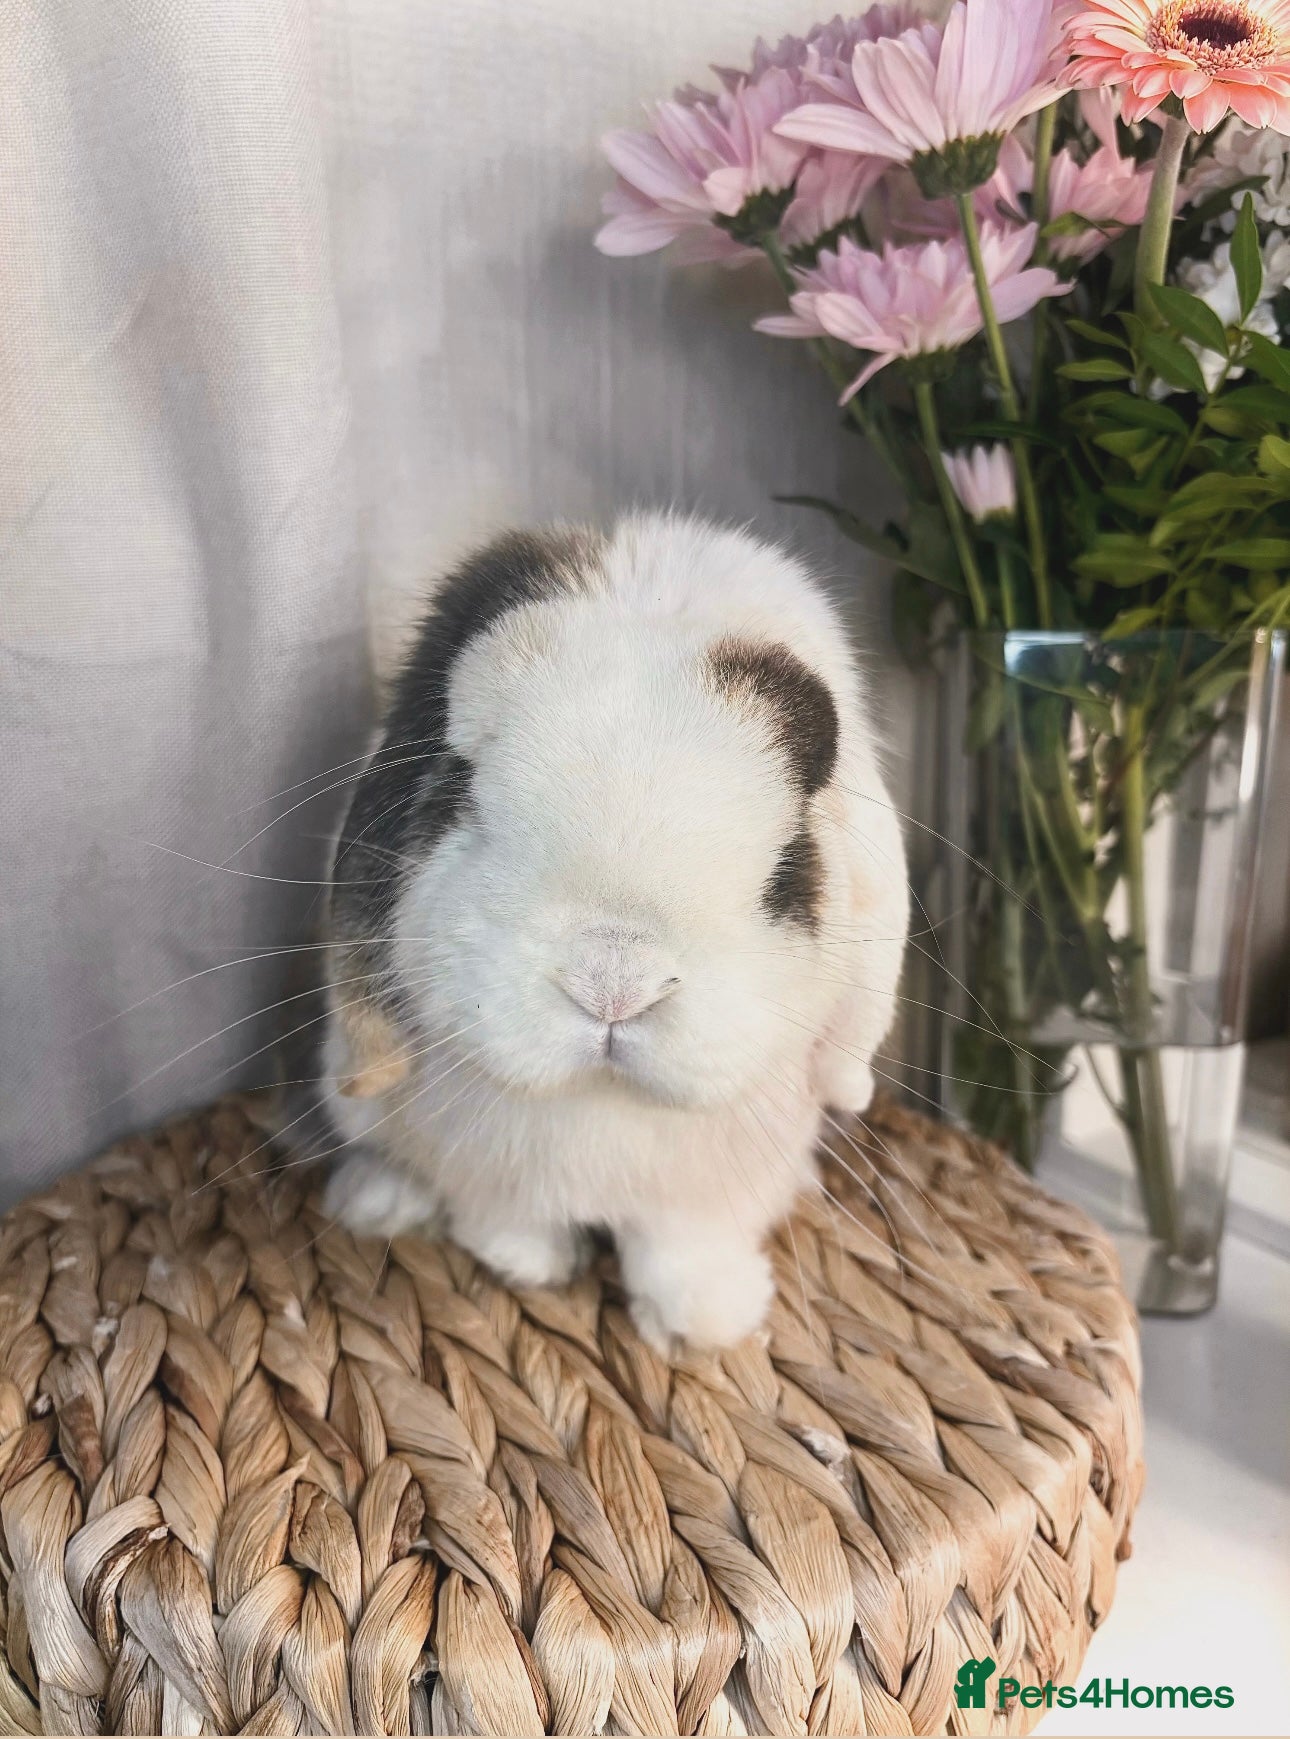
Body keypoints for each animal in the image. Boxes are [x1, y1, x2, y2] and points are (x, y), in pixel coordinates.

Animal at [315, 511, 907, 1349]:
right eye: (464, 801)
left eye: (788, 867)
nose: (613, 986)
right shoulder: (489, 1165)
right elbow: (502, 1212)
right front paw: (528, 1260)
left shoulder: (704, 1197)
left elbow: (683, 1245)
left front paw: (703, 1325)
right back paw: (383, 1201)